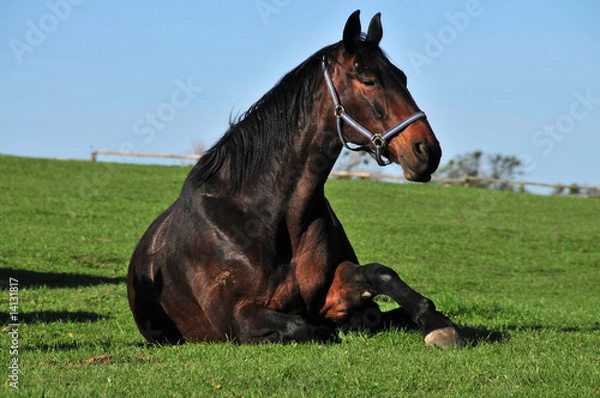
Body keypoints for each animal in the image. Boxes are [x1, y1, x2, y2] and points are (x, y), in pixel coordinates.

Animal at [126, 10, 464, 348]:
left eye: (402, 77)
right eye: (369, 81)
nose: (427, 150)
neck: (261, 216)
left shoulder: (332, 289)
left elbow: (380, 273)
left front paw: (436, 323)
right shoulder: (236, 319)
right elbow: (303, 326)